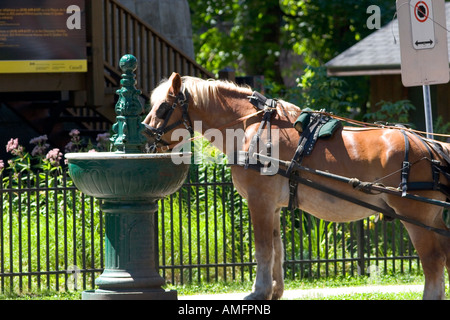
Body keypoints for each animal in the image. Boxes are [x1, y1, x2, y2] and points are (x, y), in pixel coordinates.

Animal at [145, 72, 450, 300]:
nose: (145, 133)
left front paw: (259, 291)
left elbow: (263, 248)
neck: (252, 128)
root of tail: (430, 146)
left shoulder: (259, 201)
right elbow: (277, 248)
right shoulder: (273, 206)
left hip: (415, 217)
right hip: (433, 218)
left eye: (162, 107)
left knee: (433, 261)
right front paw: (275, 290)